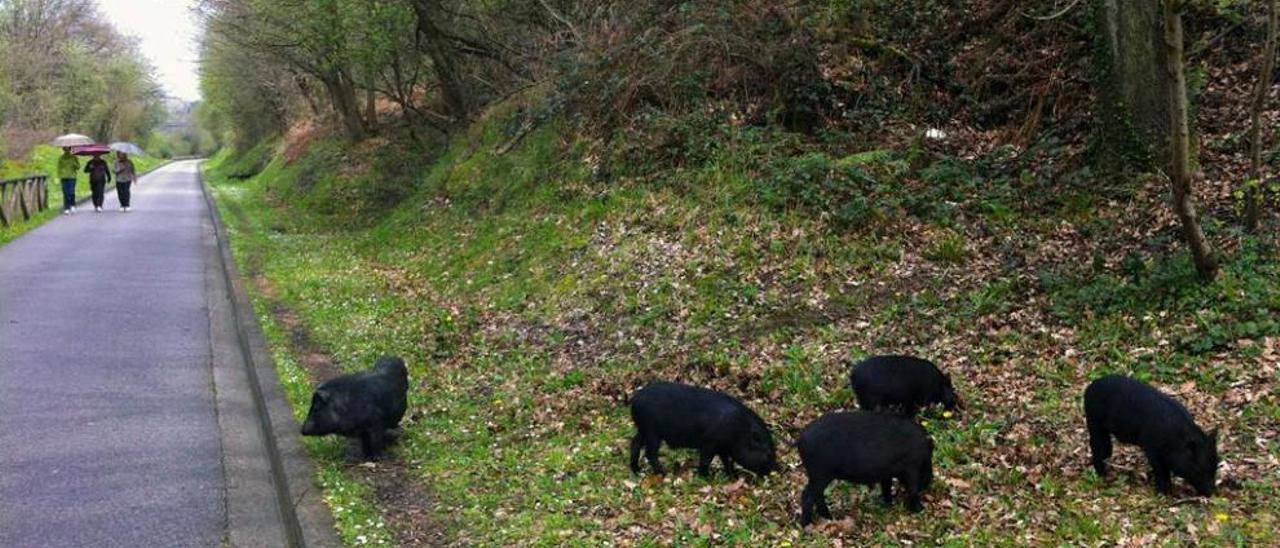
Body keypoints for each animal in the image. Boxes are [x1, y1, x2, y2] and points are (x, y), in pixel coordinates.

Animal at [629, 381, 778, 478]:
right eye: (768, 453)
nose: (776, 469)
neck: (740, 432)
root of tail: (634, 399)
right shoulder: (710, 443)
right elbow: (706, 459)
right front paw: (707, 477)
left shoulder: (723, 447)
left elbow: (726, 460)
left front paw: (732, 475)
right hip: (652, 431)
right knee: (650, 452)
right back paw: (663, 473)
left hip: (643, 428)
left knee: (634, 443)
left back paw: (637, 471)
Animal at [798, 409, 931, 527]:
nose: (926, 485)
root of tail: (800, 439)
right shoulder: (912, 467)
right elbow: (912, 489)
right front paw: (920, 510)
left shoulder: (887, 473)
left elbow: (886, 487)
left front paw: (889, 504)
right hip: (820, 473)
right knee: (807, 496)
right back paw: (807, 524)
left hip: (816, 475)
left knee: (816, 495)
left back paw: (828, 518)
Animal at [1085, 371, 1223, 496]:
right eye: (1199, 469)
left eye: (1215, 467)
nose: (1213, 493)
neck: (1175, 440)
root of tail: (1090, 387)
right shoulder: (1151, 449)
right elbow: (1161, 471)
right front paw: (1162, 493)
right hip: (1093, 420)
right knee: (1095, 444)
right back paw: (1102, 476)